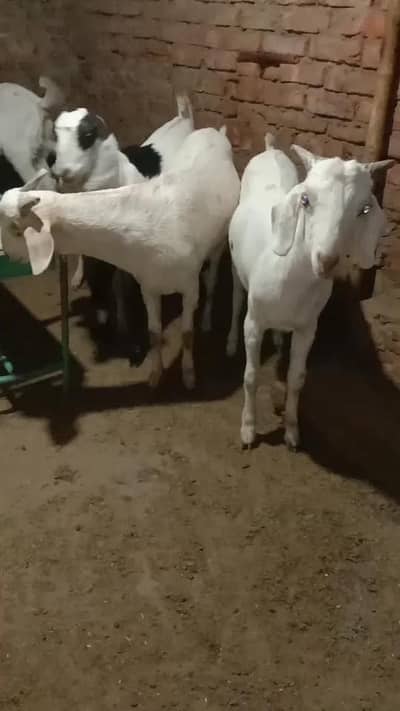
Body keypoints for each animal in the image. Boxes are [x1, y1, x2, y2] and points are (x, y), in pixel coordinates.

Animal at [0, 127, 240, 389]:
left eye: (12, 228)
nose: (6, 253)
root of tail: (214, 132)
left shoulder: (189, 287)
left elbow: (187, 335)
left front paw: (188, 376)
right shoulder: (149, 287)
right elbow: (154, 333)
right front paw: (155, 375)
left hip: (218, 246)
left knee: (213, 282)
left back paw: (207, 321)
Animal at [227, 133, 393, 451]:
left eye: (364, 209)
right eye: (305, 200)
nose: (327, 261)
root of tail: (269, 150)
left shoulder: (308, 328)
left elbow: (297, 378)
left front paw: (293, 433)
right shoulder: (254, 322)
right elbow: (251, 376)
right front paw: (248, 430)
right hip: (235, 270)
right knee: (236, 298)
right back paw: (230, 342)